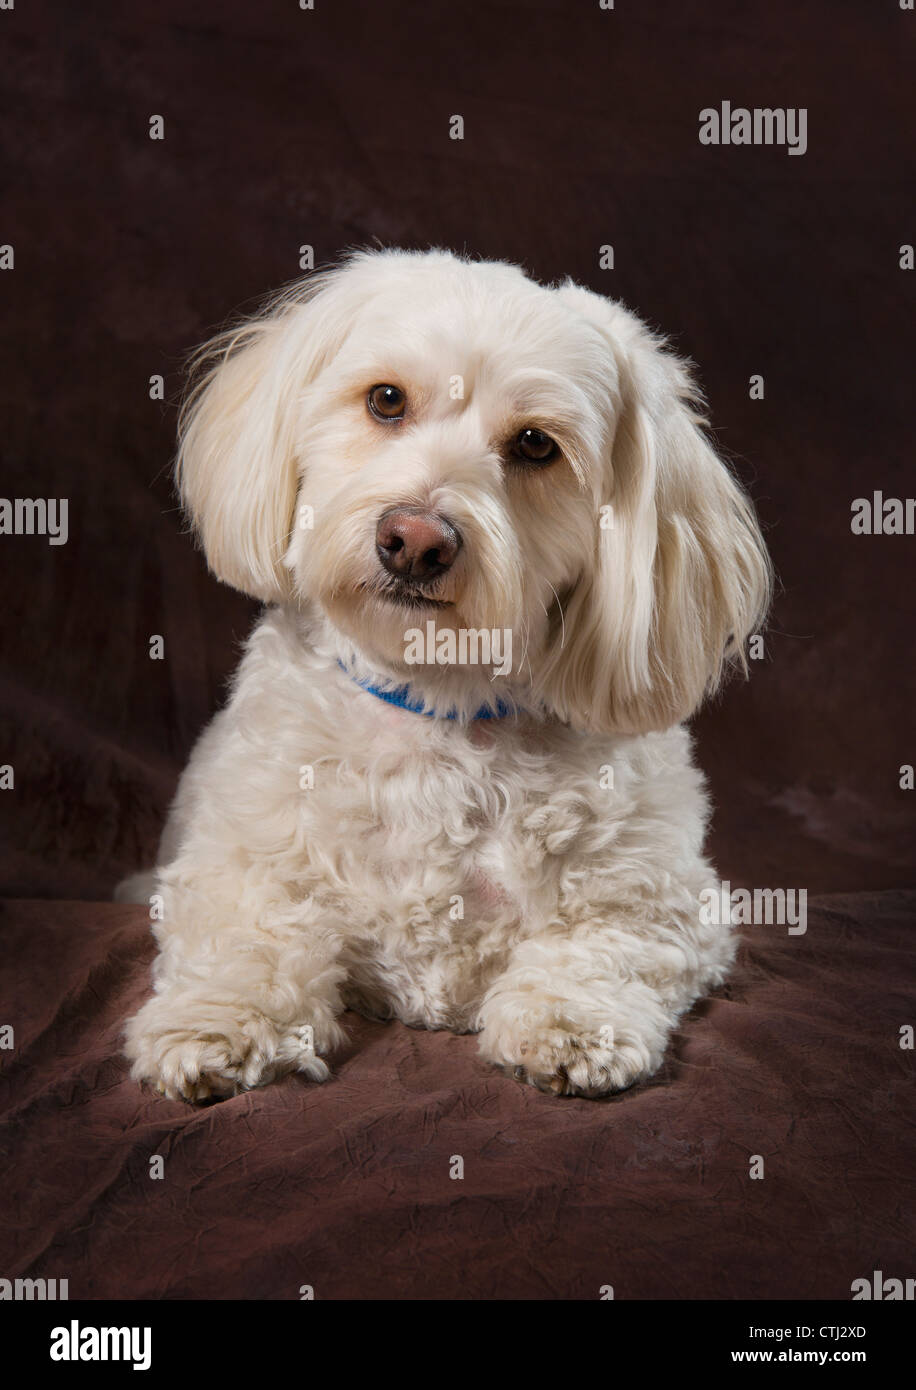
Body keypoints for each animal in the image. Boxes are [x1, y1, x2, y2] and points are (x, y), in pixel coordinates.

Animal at [118, 247, 772, 1095]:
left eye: (536, 445)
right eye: (386, 400)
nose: (416, 539)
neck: (437, 708)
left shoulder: (670, 903)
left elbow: (602, 947)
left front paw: (570, 1025)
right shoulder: (232, 864)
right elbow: (250, 935)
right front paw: (217, 1021)